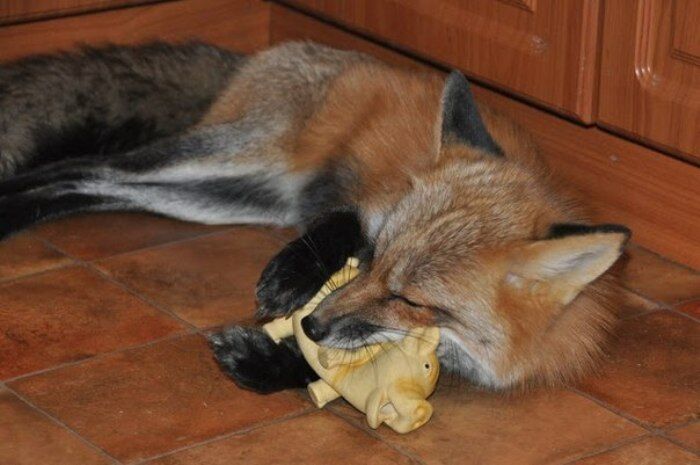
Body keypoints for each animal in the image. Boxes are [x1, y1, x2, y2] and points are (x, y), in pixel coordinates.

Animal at [0, 41, 630, 394]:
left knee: (93, 185)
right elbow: (339, 224)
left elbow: (346, 362)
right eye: (373, 261)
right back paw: (9, 201)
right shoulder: (367, 206)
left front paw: (270, 363)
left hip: (231, 196)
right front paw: (286, 283)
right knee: (79, 165)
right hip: (228, 156)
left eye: (409, 300)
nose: (312, 325)